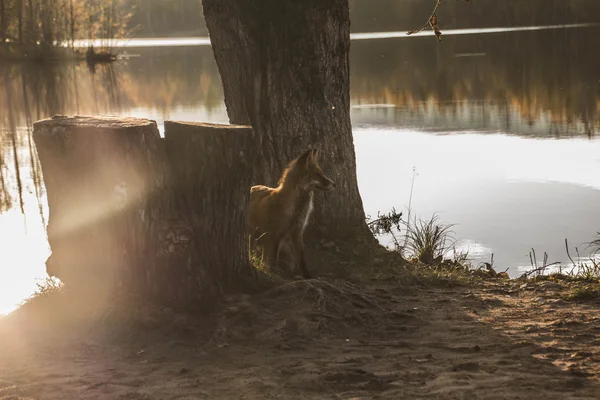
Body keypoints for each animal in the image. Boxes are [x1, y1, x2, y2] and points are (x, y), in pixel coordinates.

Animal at [246, 148, 336, 280]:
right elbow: (273, 259)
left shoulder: (296, 231)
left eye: (321, 173)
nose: (334, 184)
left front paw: (307, 277)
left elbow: (301, 259)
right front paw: (274, 274)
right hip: (254, 235)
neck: (295, 209)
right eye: (318, 174)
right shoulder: (275, 234)